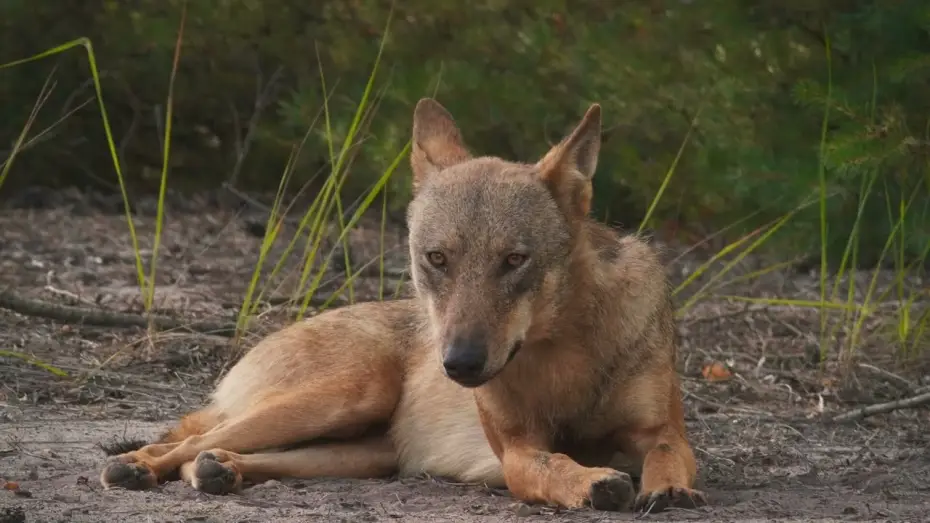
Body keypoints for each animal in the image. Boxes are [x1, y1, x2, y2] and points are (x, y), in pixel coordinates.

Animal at [99, 98, 706, 513]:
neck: (564, 355)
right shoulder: (516, 451)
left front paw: (669, 488)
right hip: (346, 396)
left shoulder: (661, 430)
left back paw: (218, 472)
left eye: (514, 260)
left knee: (206, 454)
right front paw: (592, 481)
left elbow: (671, 454)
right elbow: (552, 464)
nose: (459, 363)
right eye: (437, 259)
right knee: (184, 442)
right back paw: (135, 467)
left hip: (364, 452)